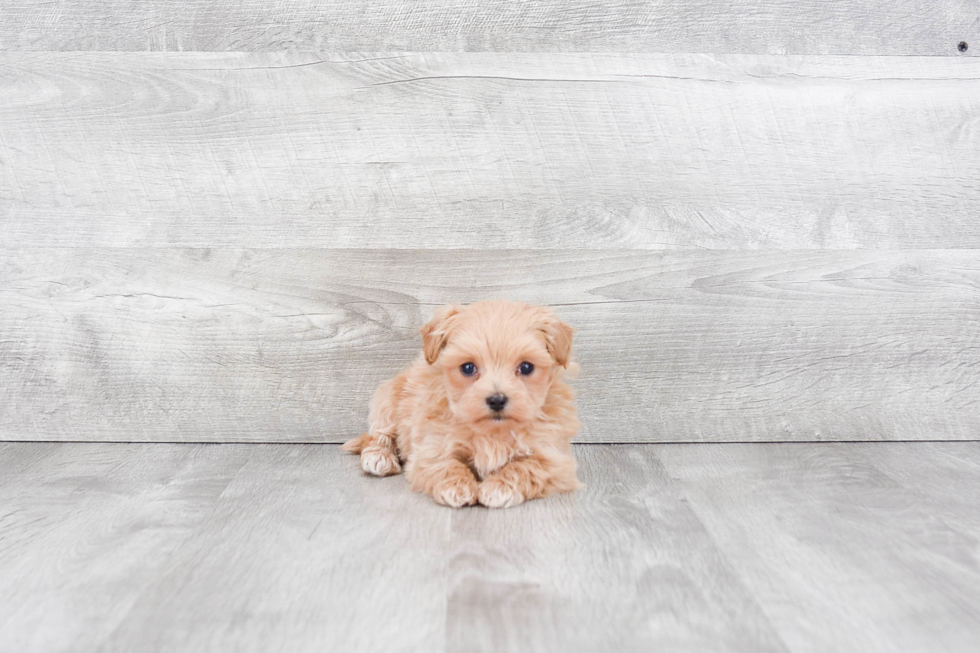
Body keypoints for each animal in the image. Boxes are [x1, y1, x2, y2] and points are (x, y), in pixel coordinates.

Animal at [342, 300, 580, 510]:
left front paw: (498, 488)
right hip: (387, 402)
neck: (492, 433)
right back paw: (378, 457)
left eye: (527, 367)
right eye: (467, 368)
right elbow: (446, 464)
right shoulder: (431, 447)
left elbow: (526, 467)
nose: (497, 399)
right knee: (378, 436)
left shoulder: (555, 459)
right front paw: (457, 488)